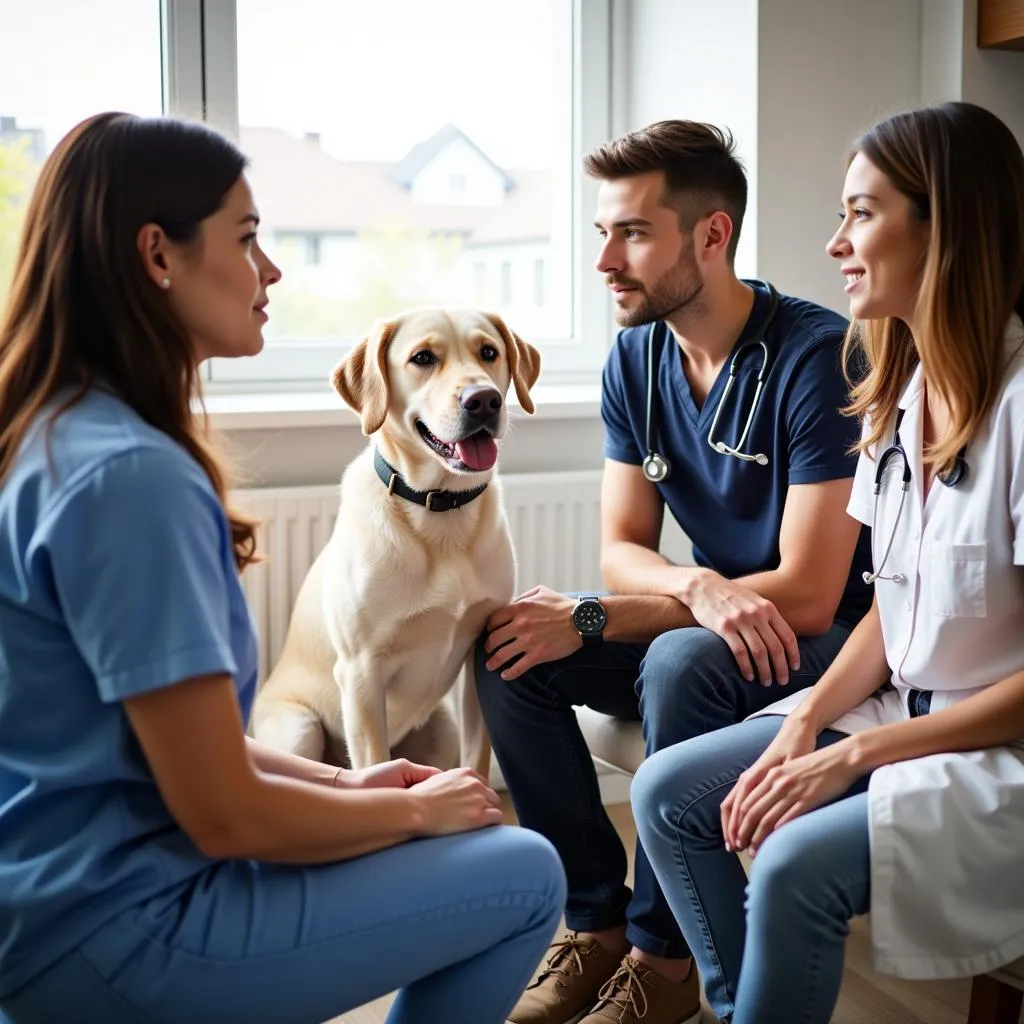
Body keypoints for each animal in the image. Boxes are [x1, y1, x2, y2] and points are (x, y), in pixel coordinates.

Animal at [251, 307, 540, 770]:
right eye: (422, 358)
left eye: (489, 352)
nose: (483, 400)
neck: (440, 509)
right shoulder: (361, 672)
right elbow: (377, 765)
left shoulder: (482, 653)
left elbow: (476, 762)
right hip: (299, 730)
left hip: (443, 730)